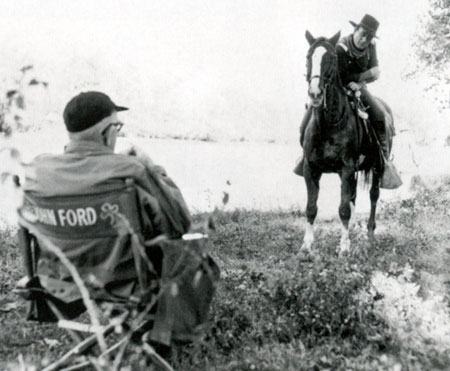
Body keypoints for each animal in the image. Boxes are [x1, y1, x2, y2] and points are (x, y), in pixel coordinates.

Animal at [298, 30, 394, 256]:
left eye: (332, 58)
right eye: (309, 56)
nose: (315, 93)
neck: (328, 124)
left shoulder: (347, 168)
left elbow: (343, 209)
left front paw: (344, 247)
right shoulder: (310, 169)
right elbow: (311, 208)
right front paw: (306, 246)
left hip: (377, 167)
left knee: (373, 196)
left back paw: (369, 235)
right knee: (353, 198)